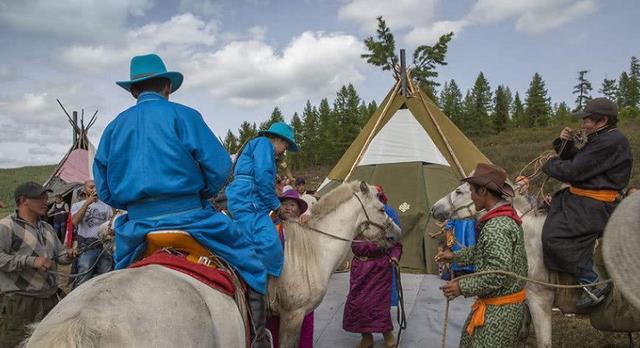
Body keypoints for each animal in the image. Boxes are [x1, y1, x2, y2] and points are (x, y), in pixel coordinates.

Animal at [432, 182, 552, 348]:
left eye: (459, 191)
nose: (434, 208)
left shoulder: (540, 299)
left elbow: (544, 343)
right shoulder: (528, 298)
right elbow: (523, 333)